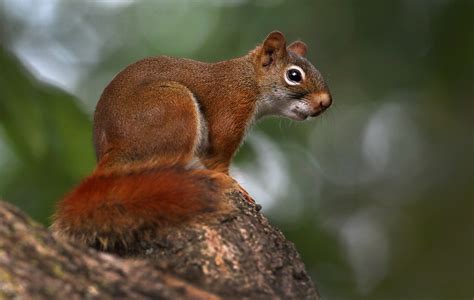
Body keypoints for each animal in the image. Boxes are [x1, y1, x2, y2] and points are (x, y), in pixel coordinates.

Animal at [51, 31, 332, 251]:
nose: (325, 102)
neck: (249, 80)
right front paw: (228, 180)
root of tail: (112, 151)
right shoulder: (231, 111)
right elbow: (219, 155)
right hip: (174, 107)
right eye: (294, 75)